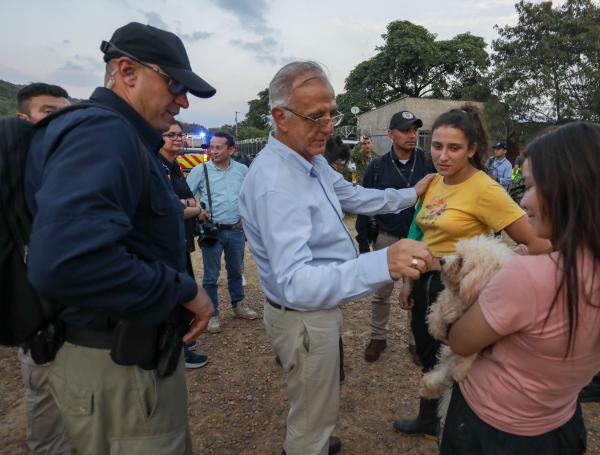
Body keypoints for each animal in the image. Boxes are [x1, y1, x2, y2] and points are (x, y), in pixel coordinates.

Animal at [420, 237, 512, 400]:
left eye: (461, 261)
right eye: (457, 253)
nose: (442, 260)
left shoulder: (480, 336)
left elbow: (472, 353)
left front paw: (462, 370)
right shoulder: (448, 301)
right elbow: (438, 309)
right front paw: (436, 328)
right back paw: (428, 385)